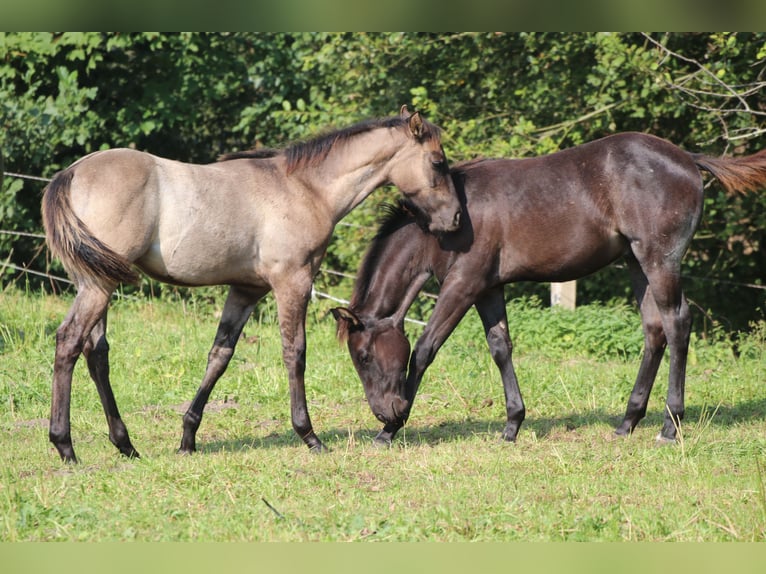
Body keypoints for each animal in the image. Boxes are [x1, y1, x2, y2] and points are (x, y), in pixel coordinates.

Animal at [43, 108, 462, 464]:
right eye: (437, 162)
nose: (456, 218)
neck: (304, 188)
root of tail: (71, 174)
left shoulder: (246, 291)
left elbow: (219, 356)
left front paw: (188, 439)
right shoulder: (293, 282)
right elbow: (295, 353)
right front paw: (309, 436)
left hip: (98, 282)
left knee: (96, 352)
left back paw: (125, 444)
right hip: (98, 286)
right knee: (69, 341)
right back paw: (65, 446)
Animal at [334, 133, 766, 448]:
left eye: (364, 357)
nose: (384, 412)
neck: (443, 224)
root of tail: (688, 159)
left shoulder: (463, 285)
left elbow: (425, 349)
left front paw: (390, 431)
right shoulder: (488, 288)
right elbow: (500, 347)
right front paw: (512, 425)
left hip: (660, 260)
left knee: (677, 323)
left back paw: (669, 426)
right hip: (635, 261)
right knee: (654, 329)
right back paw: (627, 422)